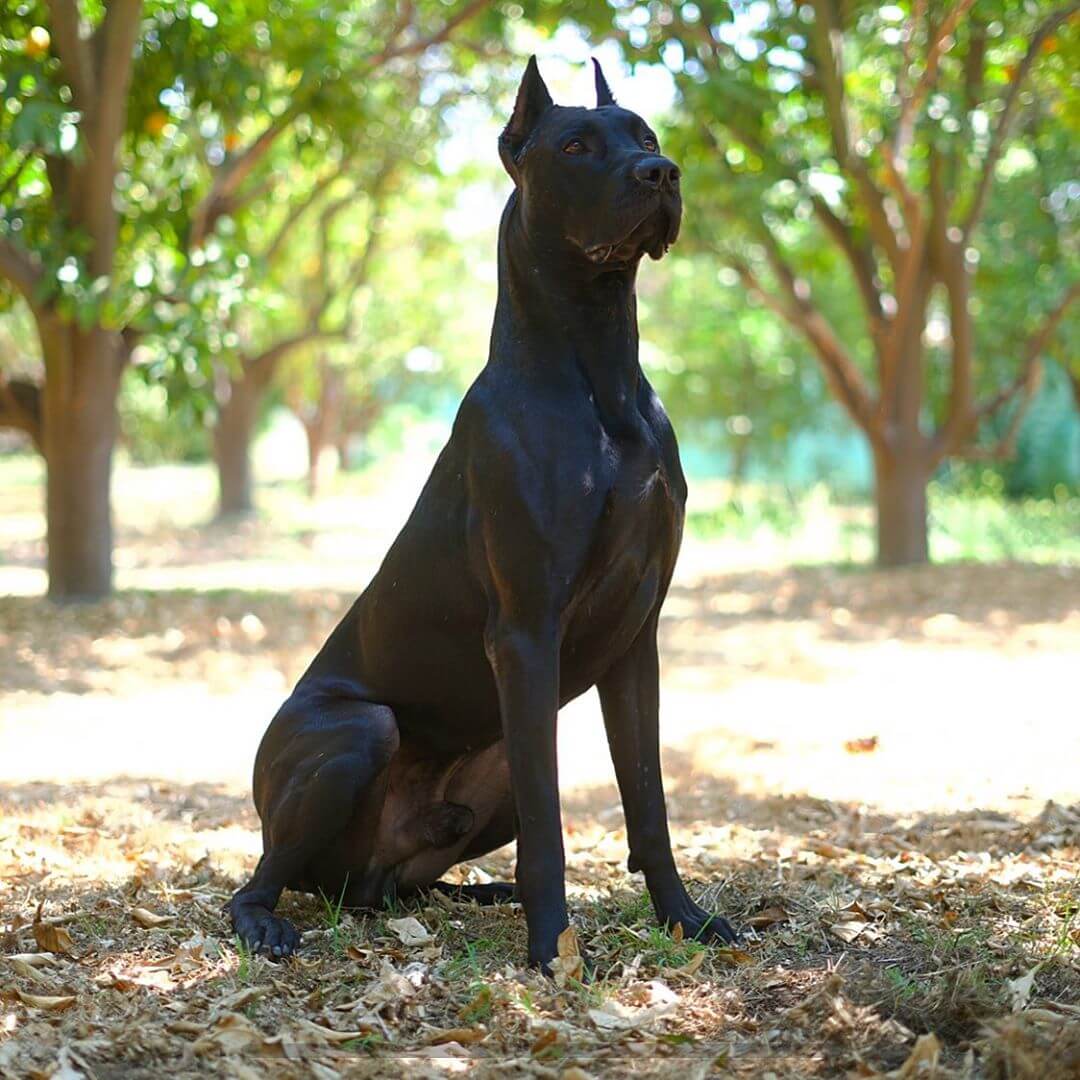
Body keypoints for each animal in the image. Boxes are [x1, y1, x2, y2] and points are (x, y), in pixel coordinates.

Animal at [226, 56, 734, 972]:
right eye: (575, 145)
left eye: (646, 135)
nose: (663, 174)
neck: (597, 371)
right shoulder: (526, 632)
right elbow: (552, 829)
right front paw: (554, 950)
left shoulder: (637, 639)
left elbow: (648, 800)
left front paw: (684, 919)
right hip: (359, 733)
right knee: (260, 877)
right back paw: (266, 922)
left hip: (491, 762)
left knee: (397, 884)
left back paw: (471, 893)